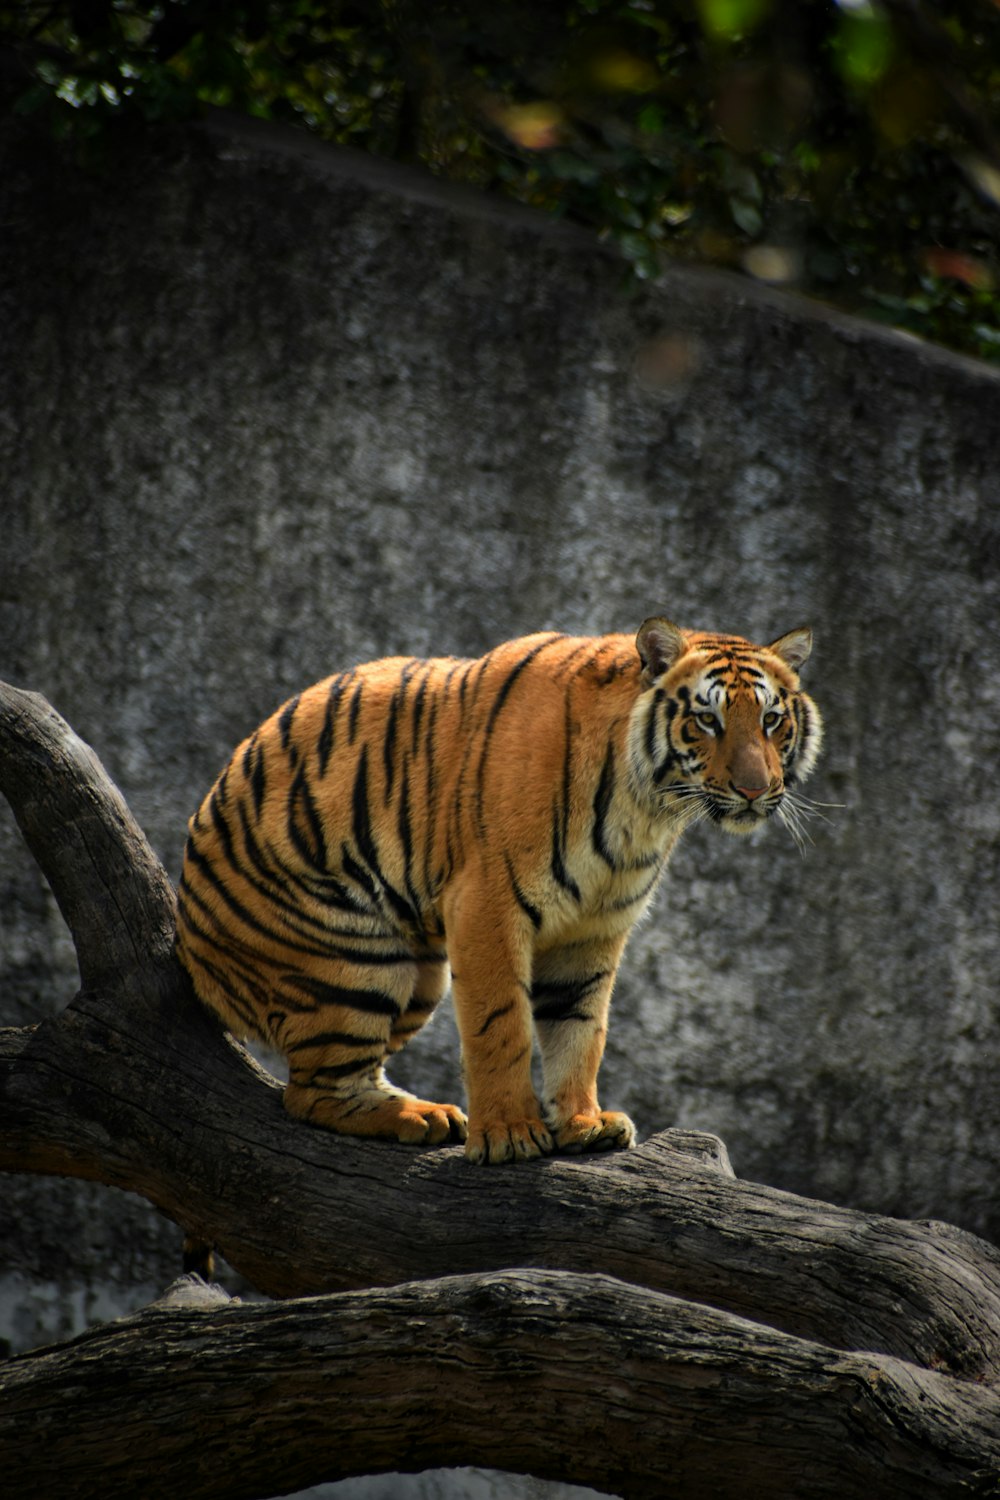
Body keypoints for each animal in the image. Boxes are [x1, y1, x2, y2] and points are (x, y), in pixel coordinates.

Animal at [176, 615, 827, 1164]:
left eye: (771, 720)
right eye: (707, 720)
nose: (755, 789)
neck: (645, 809)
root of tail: (192, 956)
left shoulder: (595, 927)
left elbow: (581, 1028)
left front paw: (585, 1123)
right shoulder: (487, 905)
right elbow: (501, 1025)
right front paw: (511, 1134)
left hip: (419, 979)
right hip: (349, 958)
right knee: (312, 1093)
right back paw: (422, 1116)